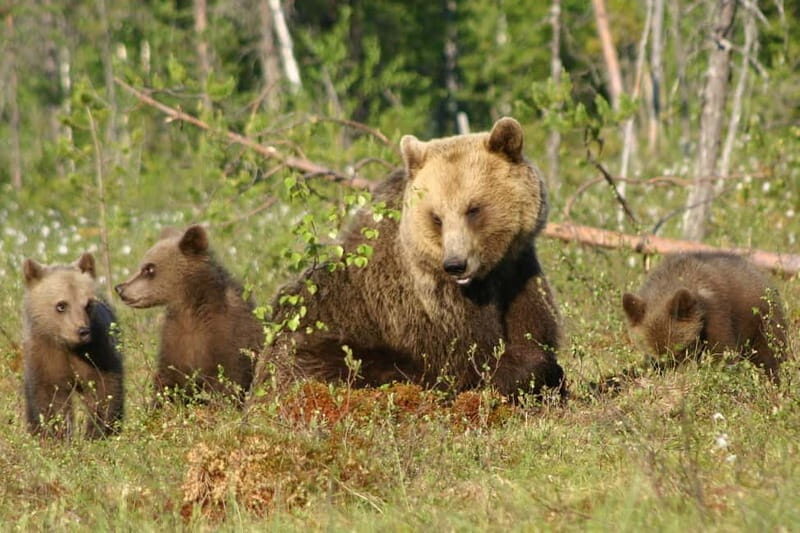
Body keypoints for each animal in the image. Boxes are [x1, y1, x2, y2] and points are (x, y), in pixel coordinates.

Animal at [22, 253, 124, 438]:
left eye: (88, 304)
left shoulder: (98, 351)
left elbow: (103, 388)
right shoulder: (45, 353)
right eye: (61, 305)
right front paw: (56, 434)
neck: (70, 346)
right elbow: (51, 396)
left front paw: (97, 432)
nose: (83, 331)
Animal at [115, 225, 262, 404]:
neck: (191, 308)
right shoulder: (175, 337)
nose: (120, 288)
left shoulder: (229, 334)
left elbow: (229, 378)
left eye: (149, 268)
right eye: (142, 265)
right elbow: (169, 378)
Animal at [263, 117, 566, 398]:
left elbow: (535, 329)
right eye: (436, 217)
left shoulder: (519, 273)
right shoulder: (427, 304)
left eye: (474, 209)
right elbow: (468, 359)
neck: (487, 274)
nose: (456, 264)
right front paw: (522, 371)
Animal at [622, 252, 791, 381]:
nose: (676, 375)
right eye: (657, 356)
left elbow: (723, 352)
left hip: (761, 321)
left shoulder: (716, 314)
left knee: (769, 353)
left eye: (680, 349)